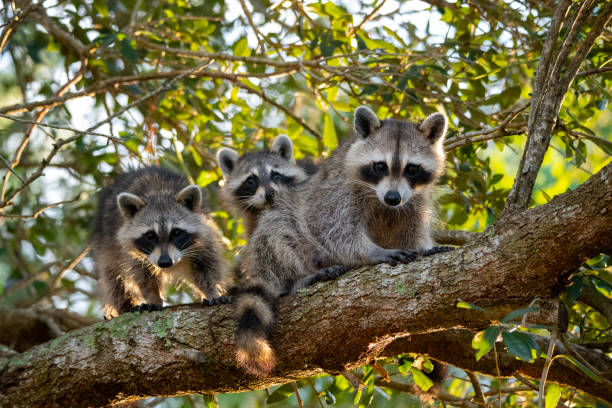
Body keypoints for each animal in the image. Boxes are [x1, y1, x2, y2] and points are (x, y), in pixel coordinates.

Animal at [92, 166, 231, 318]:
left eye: (176, 233)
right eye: (150, 236)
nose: (164, 262)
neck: (158, 193)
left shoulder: (203, 239)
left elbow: (207, 267)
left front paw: (212, 291)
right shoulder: (128, 249)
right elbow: (141, 275)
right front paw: (153, 298)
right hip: (105, 242)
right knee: (112, 278)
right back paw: (125, 306)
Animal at [302, 105, 450, 268]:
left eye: (412, 169)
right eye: (380, 166)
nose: (392, 198)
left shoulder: (416, 200)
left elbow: (412, 233)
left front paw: (423, 249)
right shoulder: (339, 189)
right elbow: (331, 227)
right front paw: (373, 251)